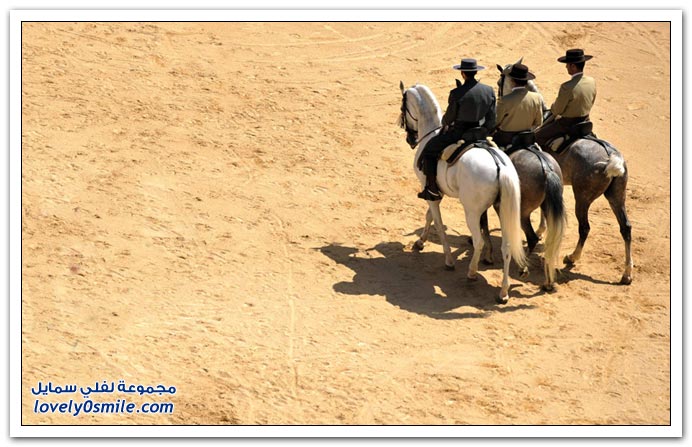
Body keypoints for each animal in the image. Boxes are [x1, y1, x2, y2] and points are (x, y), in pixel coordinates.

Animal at [398, 81, 528, 304]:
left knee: (478, 241)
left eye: (403, 107)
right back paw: (503, 292)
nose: (410, 138)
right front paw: (420, 241)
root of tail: (499, 165)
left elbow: (437, 222)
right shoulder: (436, 193)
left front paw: (448, 260)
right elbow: (429, 217)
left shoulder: (430, 191)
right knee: (507, 247)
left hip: (472, 213)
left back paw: (472, 273)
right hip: (503, 211)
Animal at [498, 59, 632, 286]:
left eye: (500, 81)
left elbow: (544, 213)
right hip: (616, 196)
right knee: (626, 228)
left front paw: (540, 230)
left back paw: (571, 257)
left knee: (584, 227)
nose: (498, 96)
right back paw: (627, 274)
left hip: (583, 197)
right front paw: (542, 230)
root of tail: (611, 157)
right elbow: (546, 211)